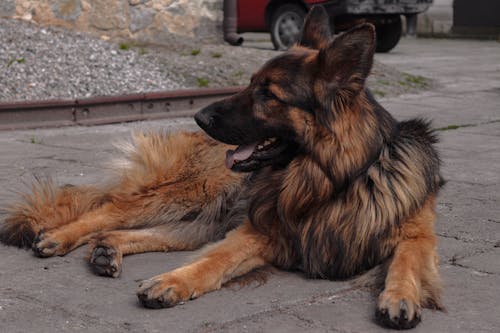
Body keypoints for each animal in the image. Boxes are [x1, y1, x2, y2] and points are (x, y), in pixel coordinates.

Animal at [0, 5, 446, 330]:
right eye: (249, 83)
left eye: (267, 94)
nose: (199, 116)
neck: (331, 182)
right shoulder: (260, 229)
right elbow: (215, 261)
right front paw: (174, 281)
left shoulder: (416, 232)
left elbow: (407, 259)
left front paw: (400, 297)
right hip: (190, 191)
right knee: (107, 212)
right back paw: (60, 237)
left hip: (202, 214)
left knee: (137, 232)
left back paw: (108, 251)